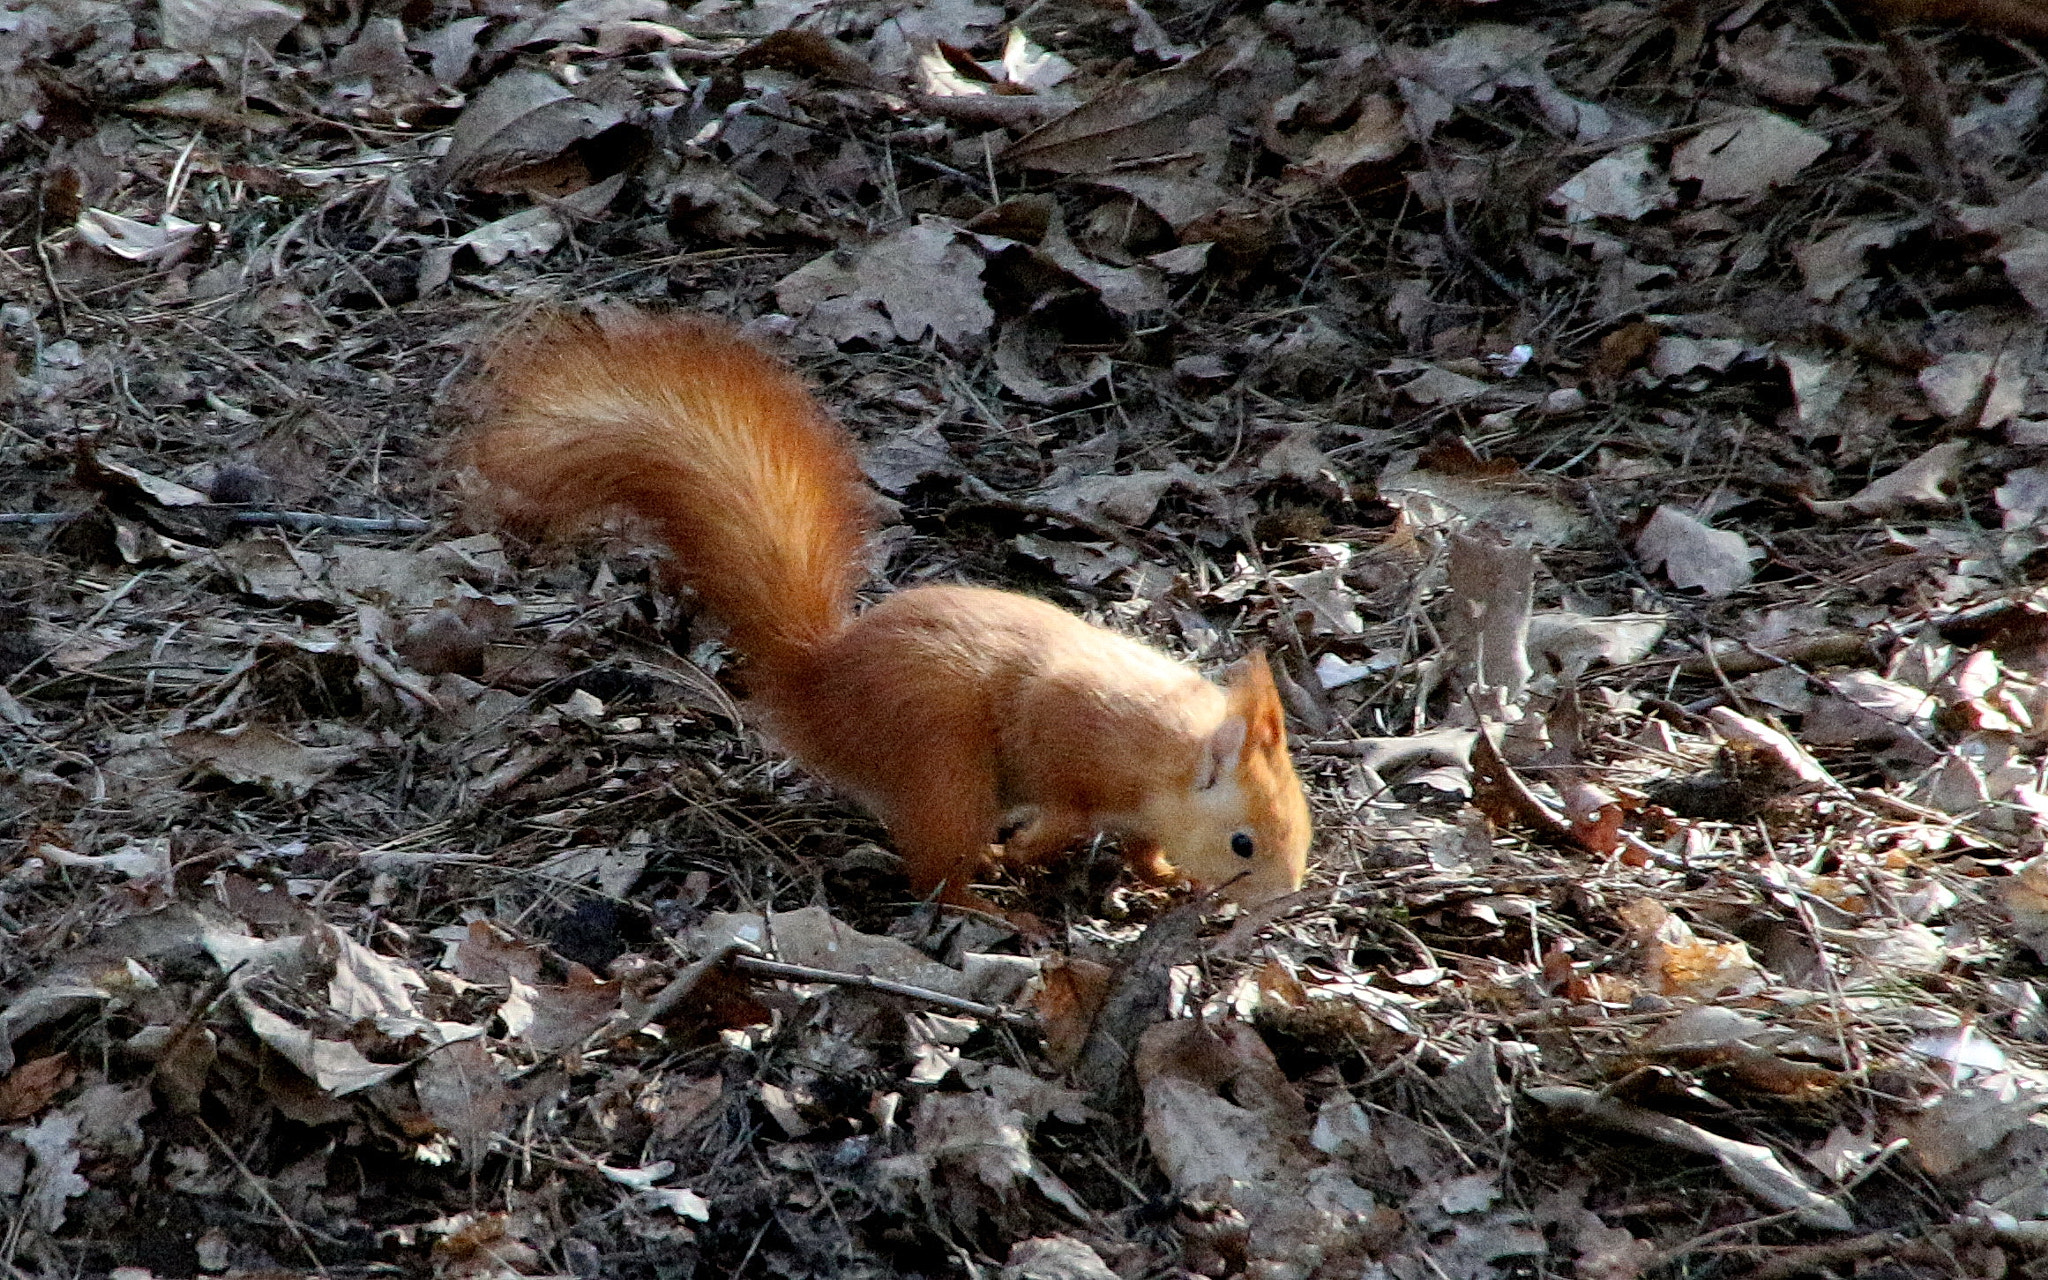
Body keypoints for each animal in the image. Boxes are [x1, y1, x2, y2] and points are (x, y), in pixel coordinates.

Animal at [466, 308, 1312, 914]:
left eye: (1300, 824)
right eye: (1242, 844)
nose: (1285, 899)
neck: (1166, 750)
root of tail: (818, 686)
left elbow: (1141, 848)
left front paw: (1162, 877)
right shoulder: (1072, 755)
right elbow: (1060, 823)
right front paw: (1022, 856)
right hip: (942, 760)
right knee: (937, 874)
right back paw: (995, 904)